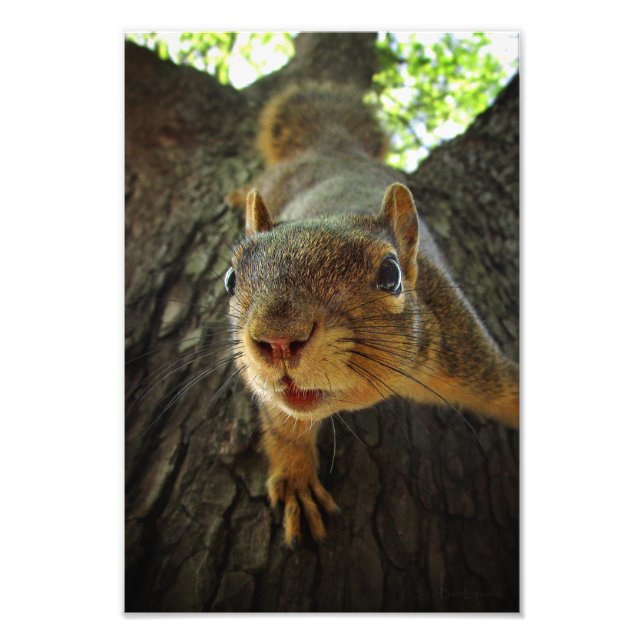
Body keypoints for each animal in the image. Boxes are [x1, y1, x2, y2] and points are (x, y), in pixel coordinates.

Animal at [225, 82, 519, 546]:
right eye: (229, 279)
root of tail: (336, 149)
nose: (278, 339)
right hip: (277, 178)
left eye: (391, 275)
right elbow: (282, 424)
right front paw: (296, 478)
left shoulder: (463, 351)